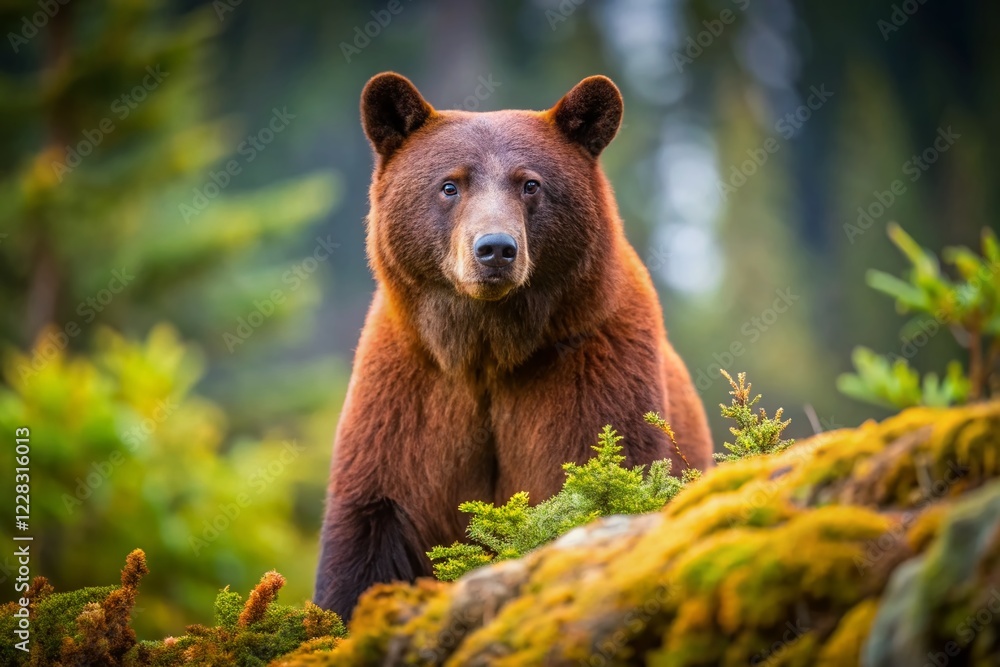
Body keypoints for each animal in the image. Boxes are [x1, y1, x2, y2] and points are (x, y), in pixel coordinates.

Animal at [314, 72, 713, 620]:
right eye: (450, 184)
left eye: (530, 183)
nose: (496, 249)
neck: (487, 351)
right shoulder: (410, 389)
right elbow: (370, 524)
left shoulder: (588, 367)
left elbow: (598, 474)